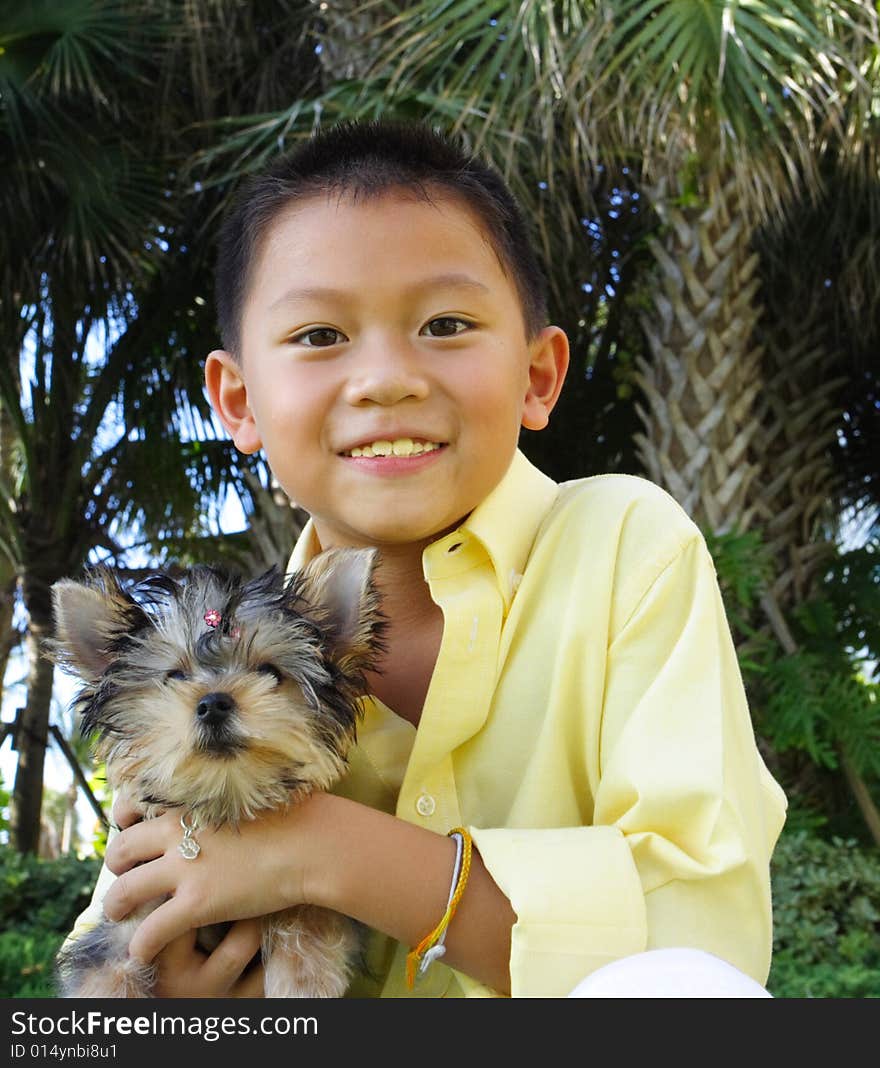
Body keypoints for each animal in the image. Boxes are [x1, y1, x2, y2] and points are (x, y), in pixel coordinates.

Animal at [48, 551, 382, 999]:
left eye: (271, 672)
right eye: (174, 677)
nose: (213, 703)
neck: (226, 804)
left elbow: (311, 900)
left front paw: (304, 973)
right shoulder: (127, 920)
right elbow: (103, 972)